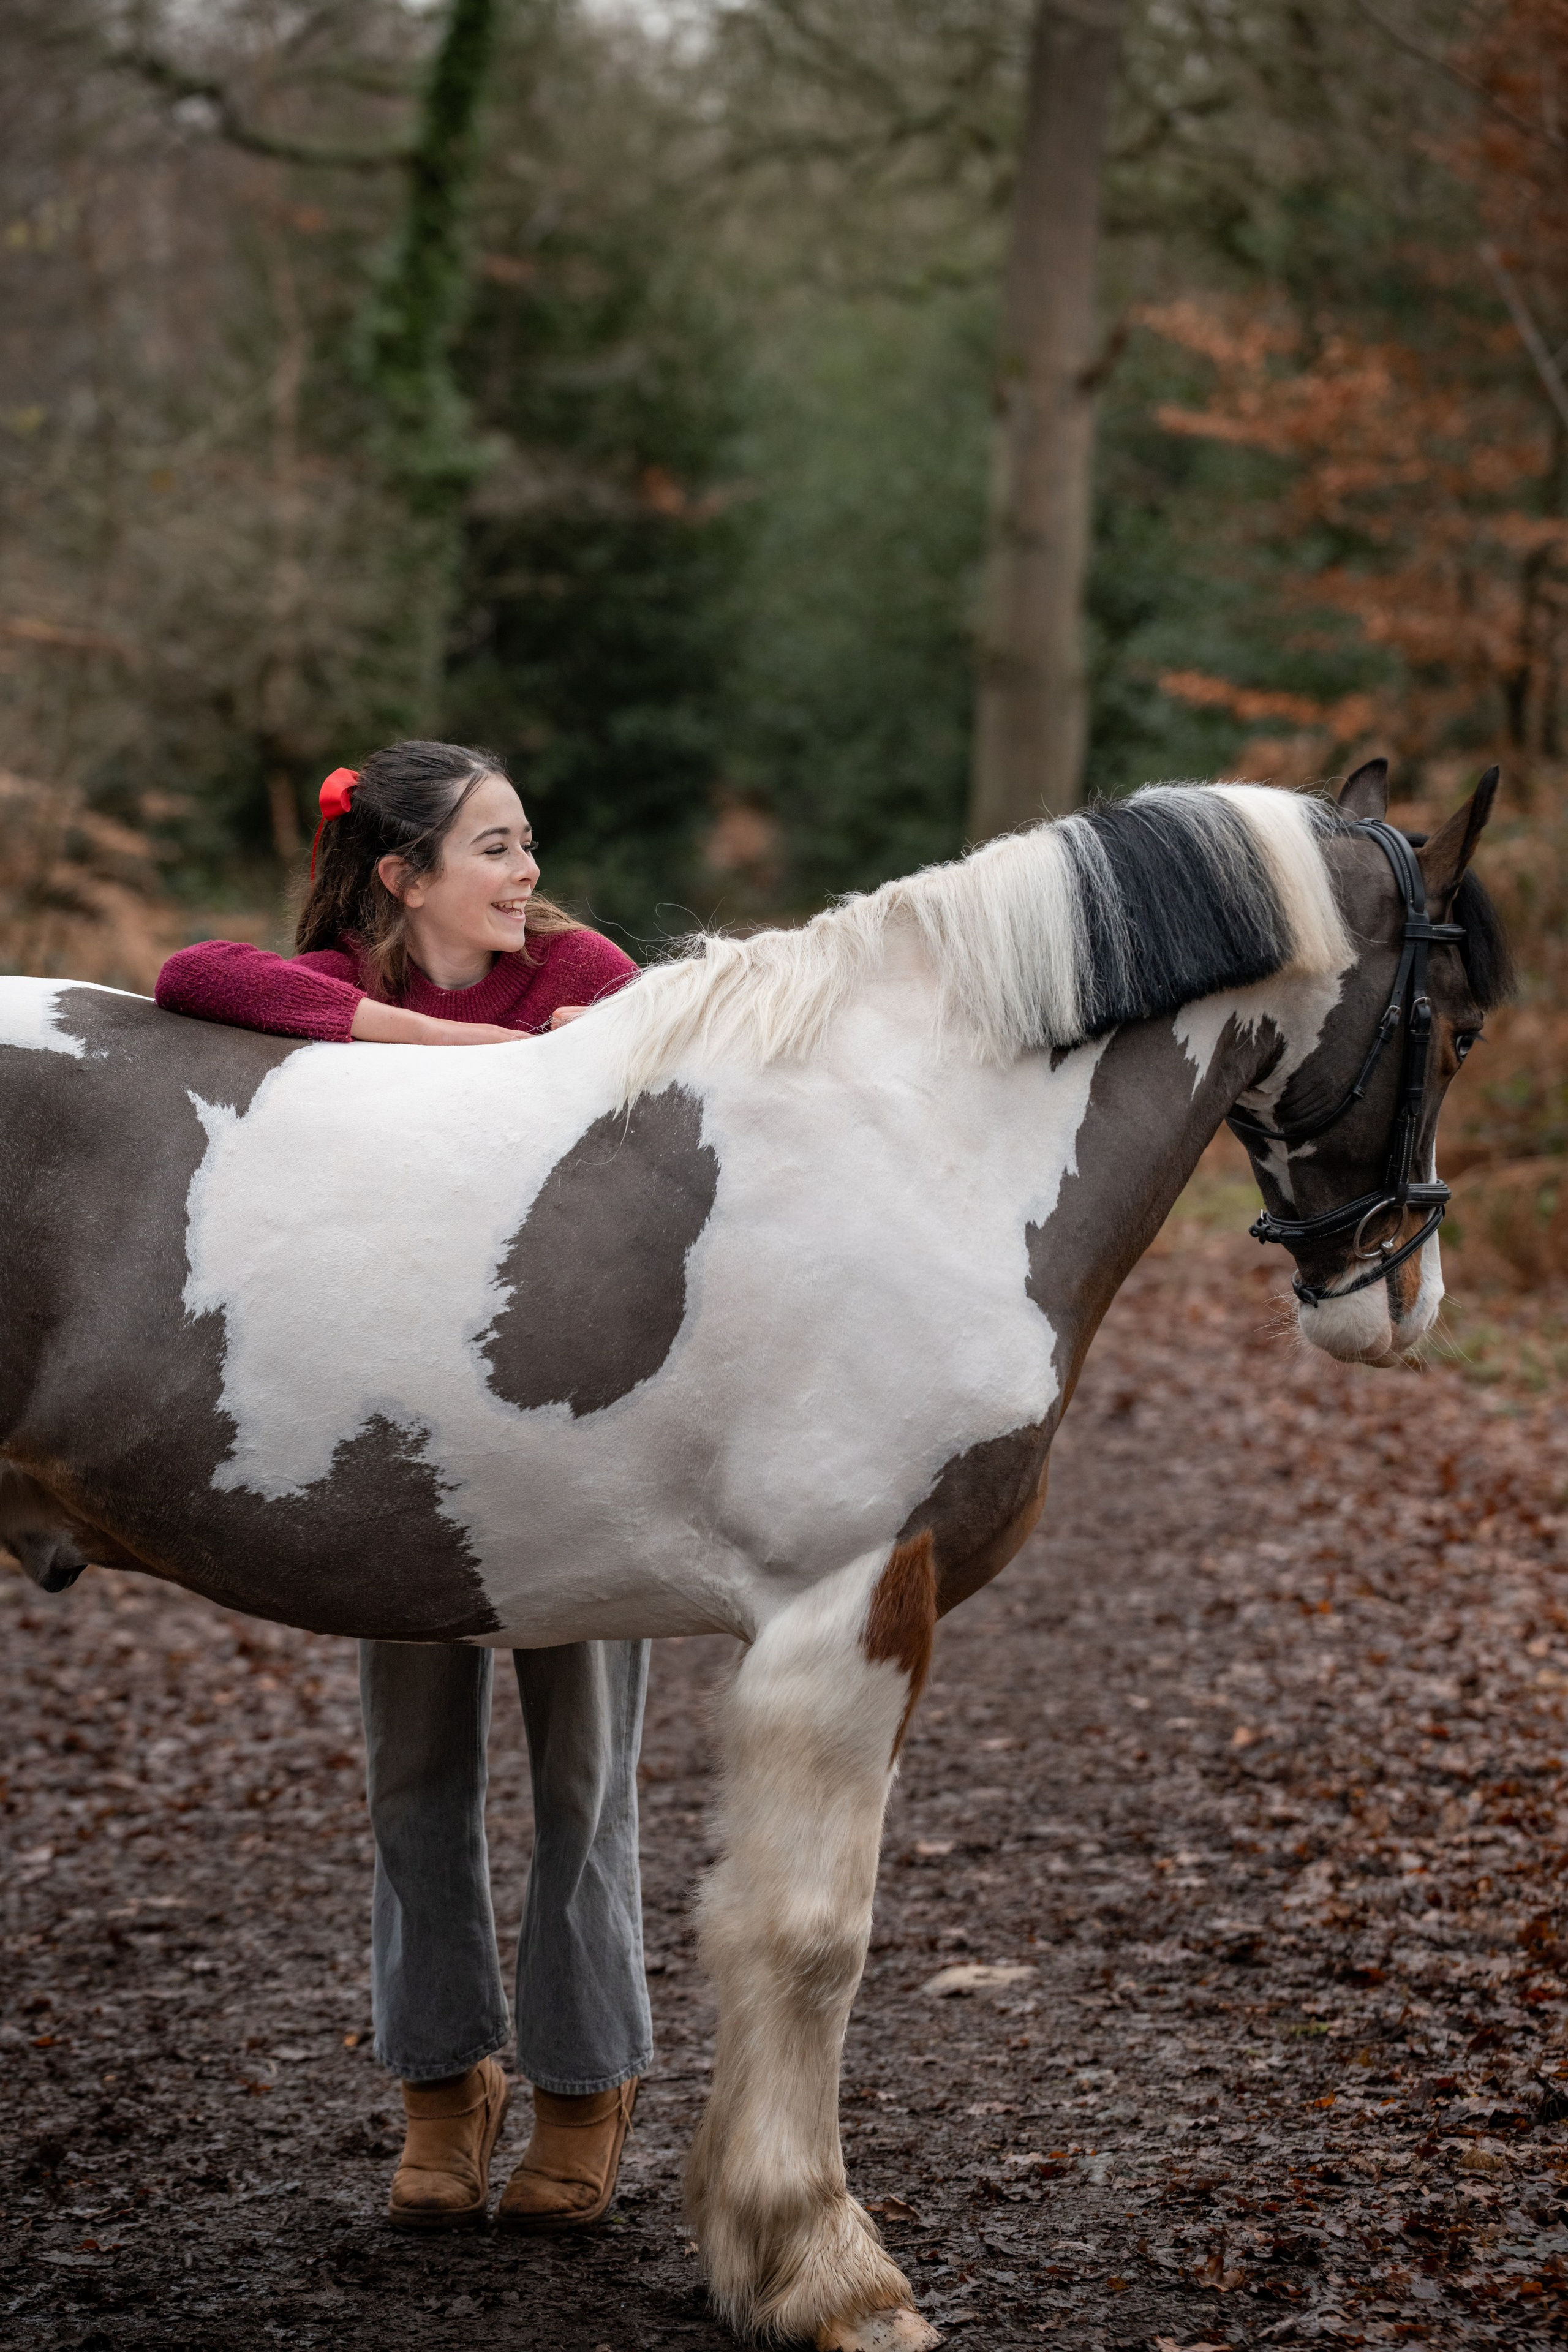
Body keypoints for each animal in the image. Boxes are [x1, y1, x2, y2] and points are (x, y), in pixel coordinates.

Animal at [0, 759, 1509, 2350]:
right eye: (1455, 1022)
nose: (1393, 1293)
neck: (920, 1132)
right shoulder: (847, 1608)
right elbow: (806, 1937)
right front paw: (822, 2267)